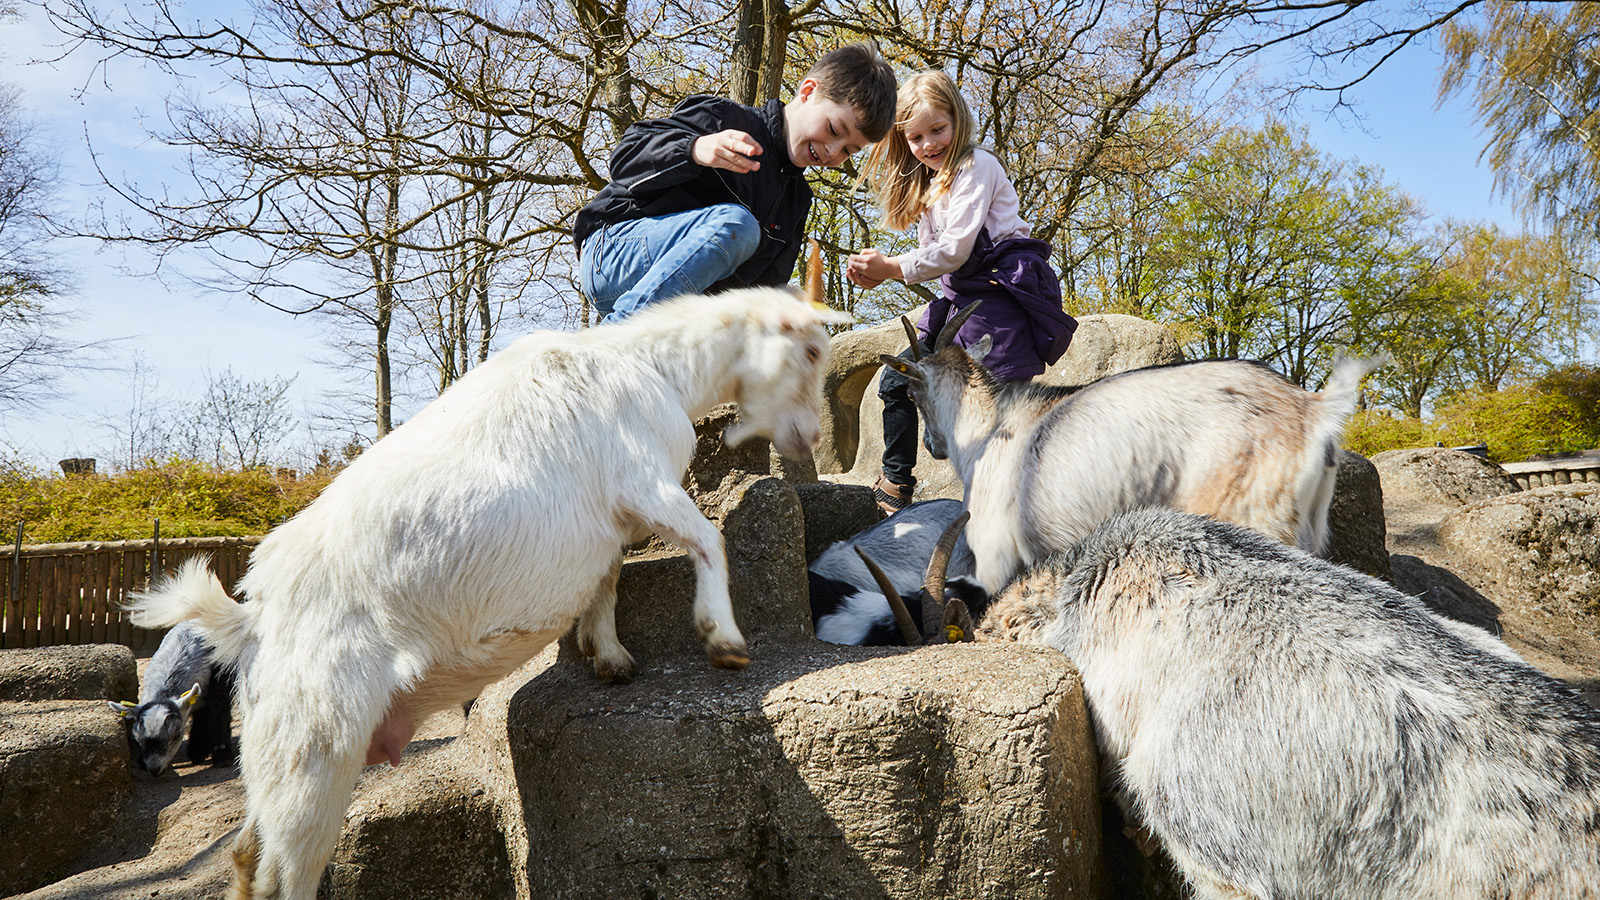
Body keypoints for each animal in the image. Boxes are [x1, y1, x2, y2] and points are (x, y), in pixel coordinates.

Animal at [127, 281, 849, 900]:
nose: (814, 437)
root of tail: (250, 621)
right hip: (317, 746)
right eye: (812, 350)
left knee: (248, 854)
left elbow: (608, 578)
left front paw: (610, 656)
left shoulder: (608, 522)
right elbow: (707, 539)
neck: (654, 367)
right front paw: (723, 640)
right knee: (285, 874)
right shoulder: (644, 480)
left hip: (277, 752)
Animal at [881, 304, 1385, 592]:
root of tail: (1312, 411)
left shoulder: (993, 554)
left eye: (914, 393)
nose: (933, 447)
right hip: (1307, 530)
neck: (989, 429)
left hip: (1255, 517)